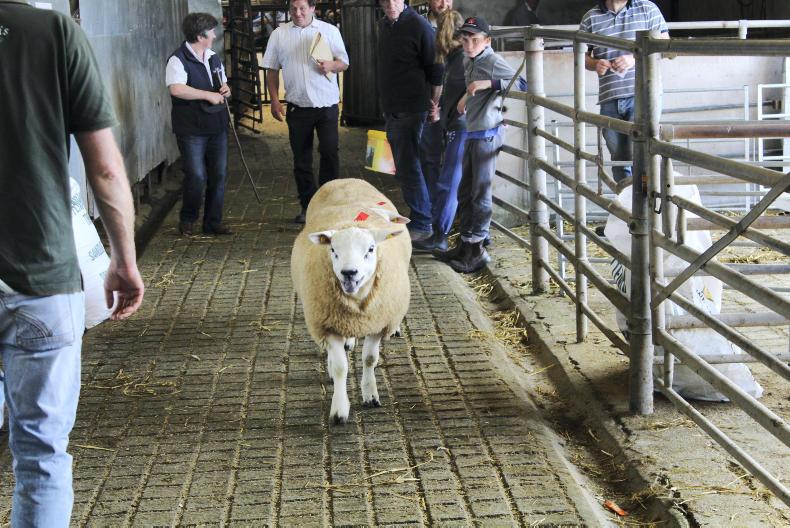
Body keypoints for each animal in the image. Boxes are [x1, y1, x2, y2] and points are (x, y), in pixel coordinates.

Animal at [292, 178, 414, 424]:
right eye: (332, 250)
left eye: (370, 249)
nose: (349, 272)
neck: (357, 304)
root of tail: (344, 179)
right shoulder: (329, 324)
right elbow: (341, 367)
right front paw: (339, 410)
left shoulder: (378, 322)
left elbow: (370, 359)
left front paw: (370, 394)